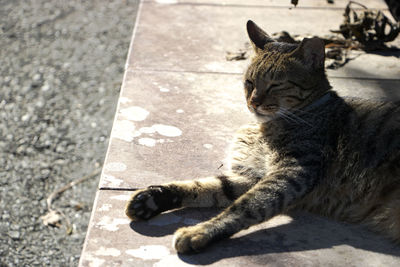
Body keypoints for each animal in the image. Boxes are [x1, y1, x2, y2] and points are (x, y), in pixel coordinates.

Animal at [126, 20, 400, 253]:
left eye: (276, 85)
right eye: (249, 82)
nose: (253, 102)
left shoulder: (290, 174)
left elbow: (245, 206)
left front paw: (199, 232)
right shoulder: (251, 175)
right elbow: (204, 186)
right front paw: (152, 198)